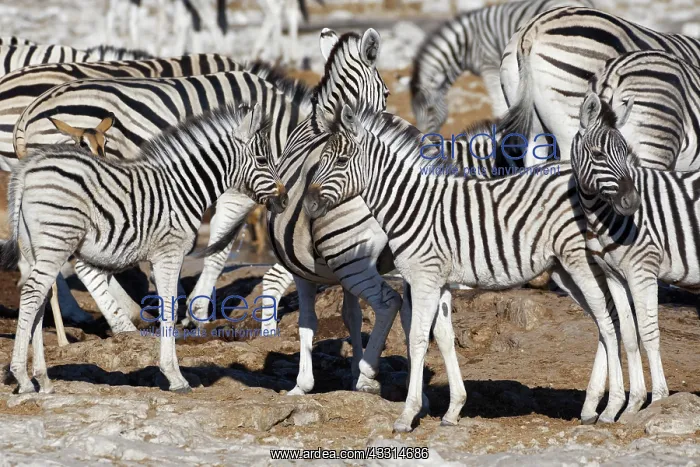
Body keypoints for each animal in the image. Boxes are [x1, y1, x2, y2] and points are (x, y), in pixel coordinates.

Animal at [0, 102, 288, 395]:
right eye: (262, 160)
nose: (285, 200)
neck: (182, 188)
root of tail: (28, 167)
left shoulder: (158, 256)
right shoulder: (169, 252)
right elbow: (170, 308)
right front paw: (175, 377)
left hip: (36, 247)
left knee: (40, 298)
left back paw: (42, 379)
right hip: (57, 240)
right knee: (33, 292)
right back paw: (23, 377)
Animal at [303, 103, 651, 431]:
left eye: (341, 161)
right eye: (321, 160)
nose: (308, 205)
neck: (412, 206)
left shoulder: (424, 279)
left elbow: (417, 340)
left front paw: (407, 414)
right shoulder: (440, 282)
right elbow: (444, 339)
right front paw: (453, 410)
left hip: (580, 263)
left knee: (608, 323)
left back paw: (612, 408)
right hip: (565, 271)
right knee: (607, 322)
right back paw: (593, 407)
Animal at [410, 0, 592, 132]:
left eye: (431, 110)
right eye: (416, 116)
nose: (424, 138)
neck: (465, 43)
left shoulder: (489, 64)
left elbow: (497, 100)